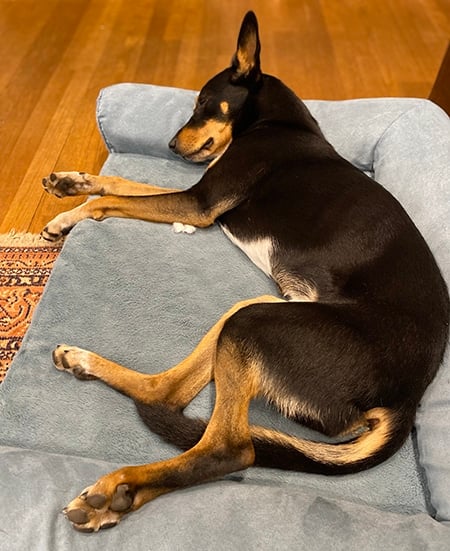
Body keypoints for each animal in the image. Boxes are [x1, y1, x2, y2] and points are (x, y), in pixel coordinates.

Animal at [41, 10, 446, 532]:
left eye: (202, 104)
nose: (171, 145)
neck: (275, 122)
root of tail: (407, 397)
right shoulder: (197, 195)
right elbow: (118, 182)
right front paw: (72, 184)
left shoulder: (198, 204)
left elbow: (111, 200)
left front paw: (69, 216)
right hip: (258, 307)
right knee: (166, 392)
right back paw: (86, 368)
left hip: (254, 322)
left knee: (226, 446)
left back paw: (117, 488)